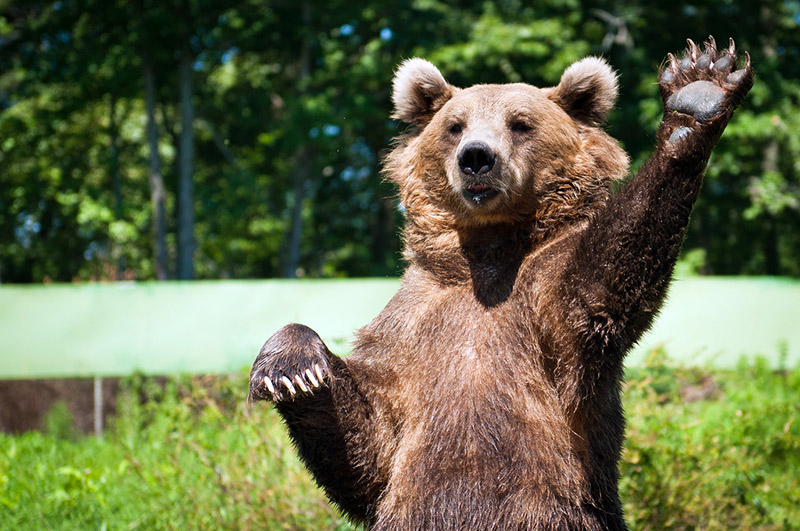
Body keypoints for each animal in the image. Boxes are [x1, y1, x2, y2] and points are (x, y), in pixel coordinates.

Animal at [248, 38, 752, 531]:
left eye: (520, 123)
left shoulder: (547, 304)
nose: (476, 157)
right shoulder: (411, 324)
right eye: (455, 126)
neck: (486, 256)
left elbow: (601, 285)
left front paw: (697, 93)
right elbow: (372, 446)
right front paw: (293, 366)